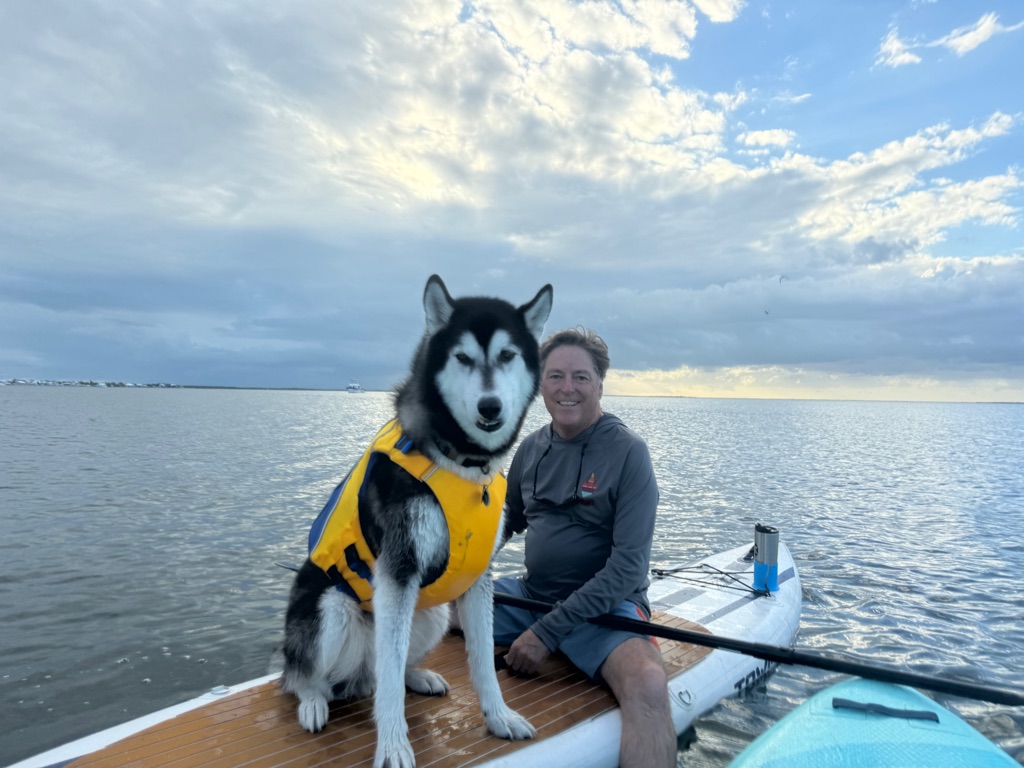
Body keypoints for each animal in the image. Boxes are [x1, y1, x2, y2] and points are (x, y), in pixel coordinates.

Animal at [281, 274, 553, 768]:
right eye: (462, 357)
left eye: (507, 355)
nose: (489, 407)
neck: (462, 464)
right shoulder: (398, 571)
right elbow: (387, 686)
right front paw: (392, 745)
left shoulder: (476, 579)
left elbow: (482, 662)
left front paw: (499, 716)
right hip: (331, 609)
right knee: (306, 674)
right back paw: (313, 700)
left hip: (434, 612)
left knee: (391, 666)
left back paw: (418, 676)